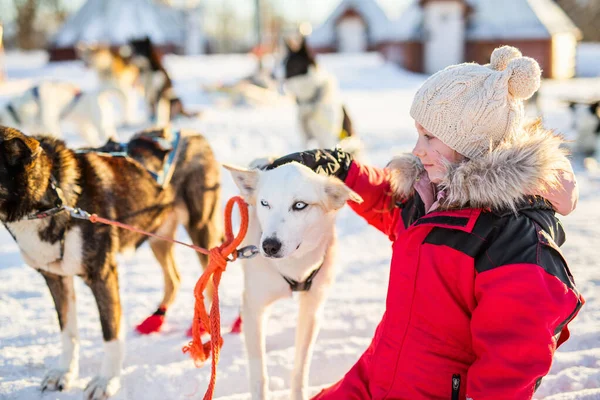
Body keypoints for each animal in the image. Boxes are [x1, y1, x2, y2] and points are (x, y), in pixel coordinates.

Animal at [0, 125, 223, 396]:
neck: (52, 200)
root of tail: (191, 133)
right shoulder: (55, 277)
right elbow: (68, 331)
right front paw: (64, 372)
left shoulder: (103, 275)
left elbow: (111, 334)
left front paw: (106, 381)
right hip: (156, 234)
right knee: (175, 278)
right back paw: (156, 319)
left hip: (201, 230)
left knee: (213, 277)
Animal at [225, 162, 364, 400]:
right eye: (265, 203)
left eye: (299, 205)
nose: (269, 245)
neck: (293, 266)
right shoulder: (255, 306)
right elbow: (259, 374)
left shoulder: (312, 308)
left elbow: (300, 368)